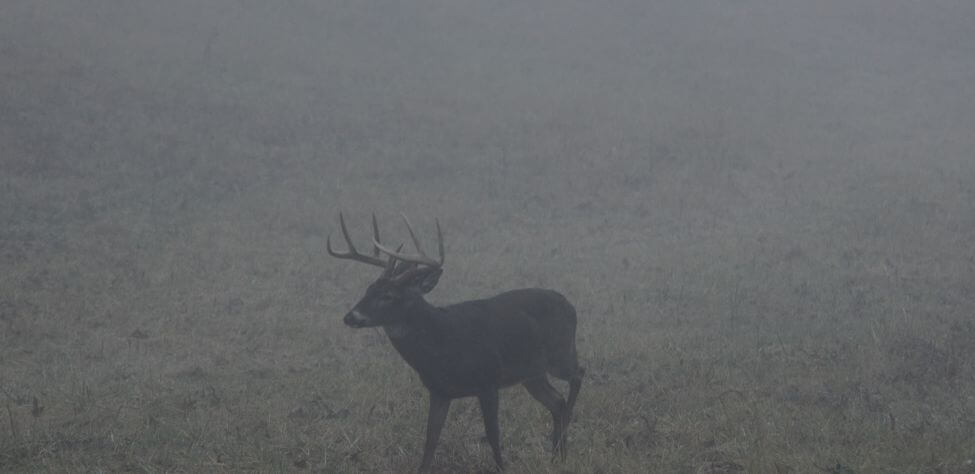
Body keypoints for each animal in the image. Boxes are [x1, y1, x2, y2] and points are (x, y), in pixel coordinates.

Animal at [327, 213, 584, 472]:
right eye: (368, 289)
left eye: (388, 296)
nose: (350, 317)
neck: (443, 344)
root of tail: (570, 305)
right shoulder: (440, 391)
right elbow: (431, 439)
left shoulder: (488, 380)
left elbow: (493, 434)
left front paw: (502, 468)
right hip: (532, 374)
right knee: (557, 401)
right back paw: (557, 455)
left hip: (560, 353)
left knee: (578, 374)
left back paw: (565, 436)